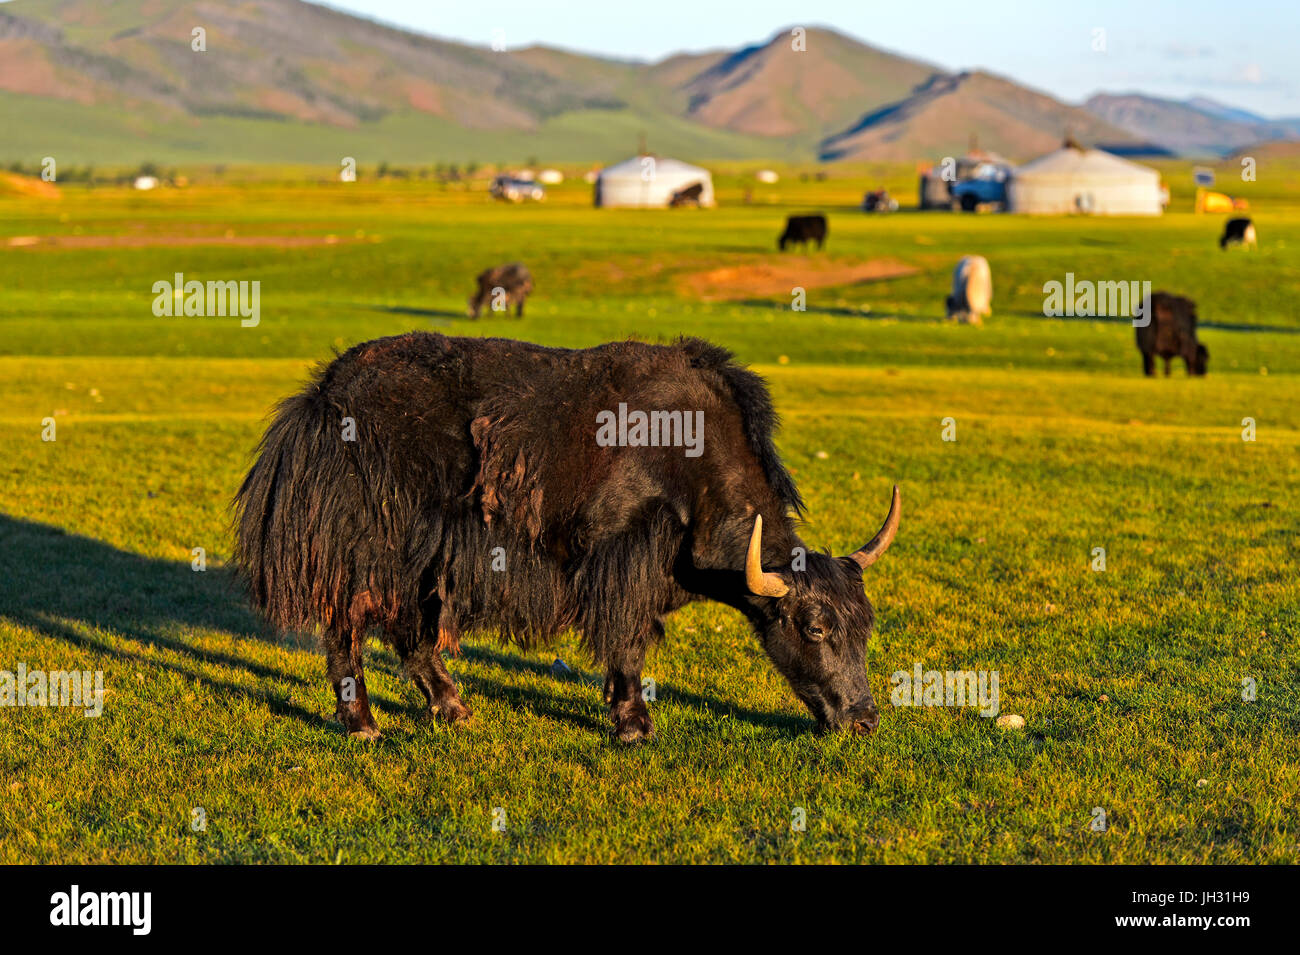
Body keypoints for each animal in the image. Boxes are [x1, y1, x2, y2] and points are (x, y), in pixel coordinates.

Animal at [233, 332, 899, 743]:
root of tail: (321, 396)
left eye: (865, 626)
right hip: (369, 547)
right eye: (814, 628)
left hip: (423, 560)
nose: (864, 721)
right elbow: (628, 640)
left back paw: (455, 709)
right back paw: (364, 723)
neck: (693, 459)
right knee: (347, 626)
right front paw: (634, 725)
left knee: (410, 632)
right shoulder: (624, 556)